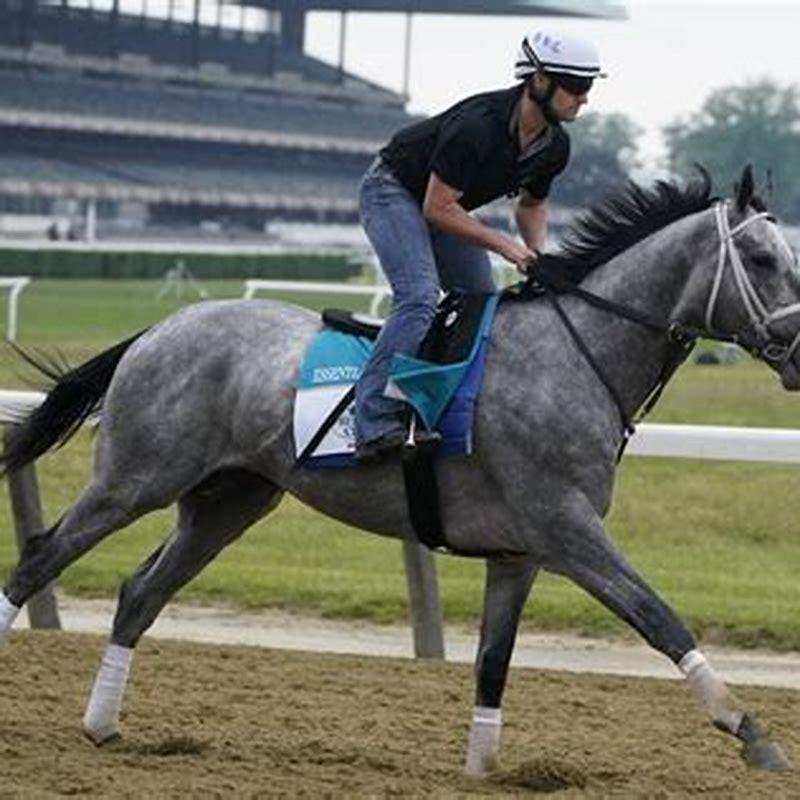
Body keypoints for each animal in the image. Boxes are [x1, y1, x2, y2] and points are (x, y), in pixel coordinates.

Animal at [0, 165, 798, 777]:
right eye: (763, 260)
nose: (798, 351)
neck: (576, 353)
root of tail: (156, 331)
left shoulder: (520, 552)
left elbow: (493, 660)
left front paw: (482, 768)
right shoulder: (567, 527)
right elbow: (658, 616)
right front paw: (749, 731)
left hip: (229, 500)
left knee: (140, 591)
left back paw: (103, 724)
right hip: (135, 478)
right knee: (41, 556)